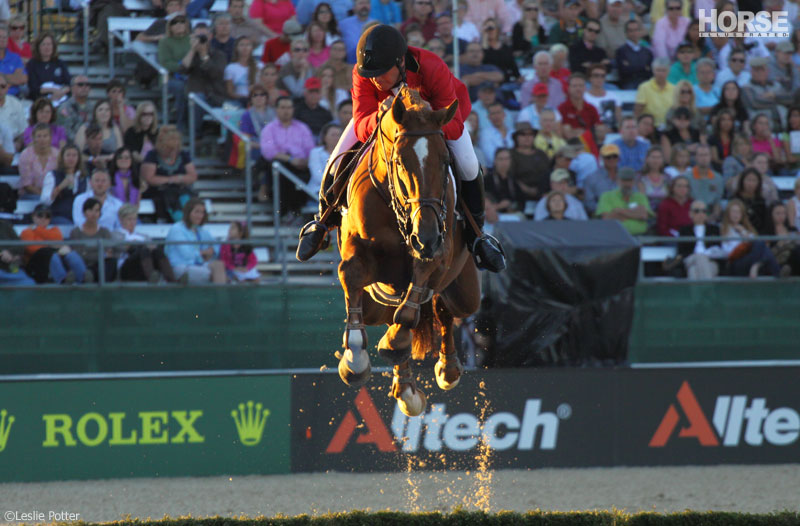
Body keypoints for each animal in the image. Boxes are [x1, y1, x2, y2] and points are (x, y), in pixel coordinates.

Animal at [336, 85, 482, 416]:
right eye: (400, 162)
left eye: (445, 162)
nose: (425, 236)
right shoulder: (356, 250)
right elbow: (349, 275)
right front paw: (354, 360)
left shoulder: (437, 250)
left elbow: (413, 300)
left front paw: (393, 343)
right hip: (375, 302)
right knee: (388, 311)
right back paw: (405, 388)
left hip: (465, 293)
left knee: (443, 309)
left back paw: (444, 371)